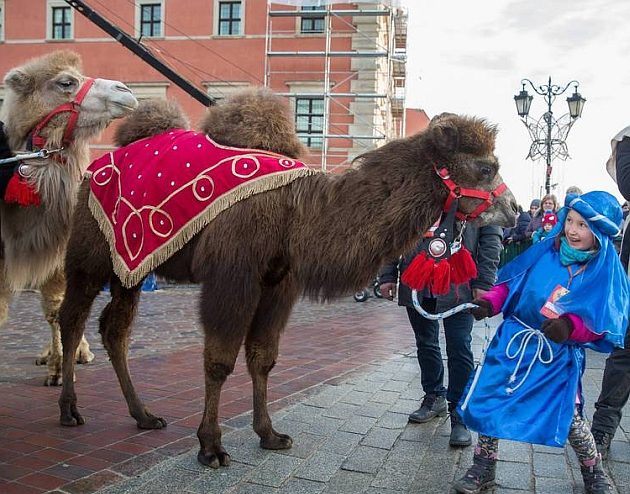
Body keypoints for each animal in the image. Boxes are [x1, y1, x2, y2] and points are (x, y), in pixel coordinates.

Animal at [0, 50, 139, 384]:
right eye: (66, 82)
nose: (125, 91)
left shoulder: (60, 247)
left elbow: (56, 309)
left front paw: (59, 370)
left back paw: (79, 352)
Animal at [58, 89, 520, 466]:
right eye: (486, 167)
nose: (514, 210)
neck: (297, 213)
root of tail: (94, 166)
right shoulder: (234, 275)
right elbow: (219, 361)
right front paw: (211, 447)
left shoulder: (279, 283)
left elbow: (264, 358)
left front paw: (270, 434)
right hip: (90, 251)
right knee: (73, 319)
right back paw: (69, 410)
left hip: (131, 265)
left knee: (114, 328)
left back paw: (143, 415)